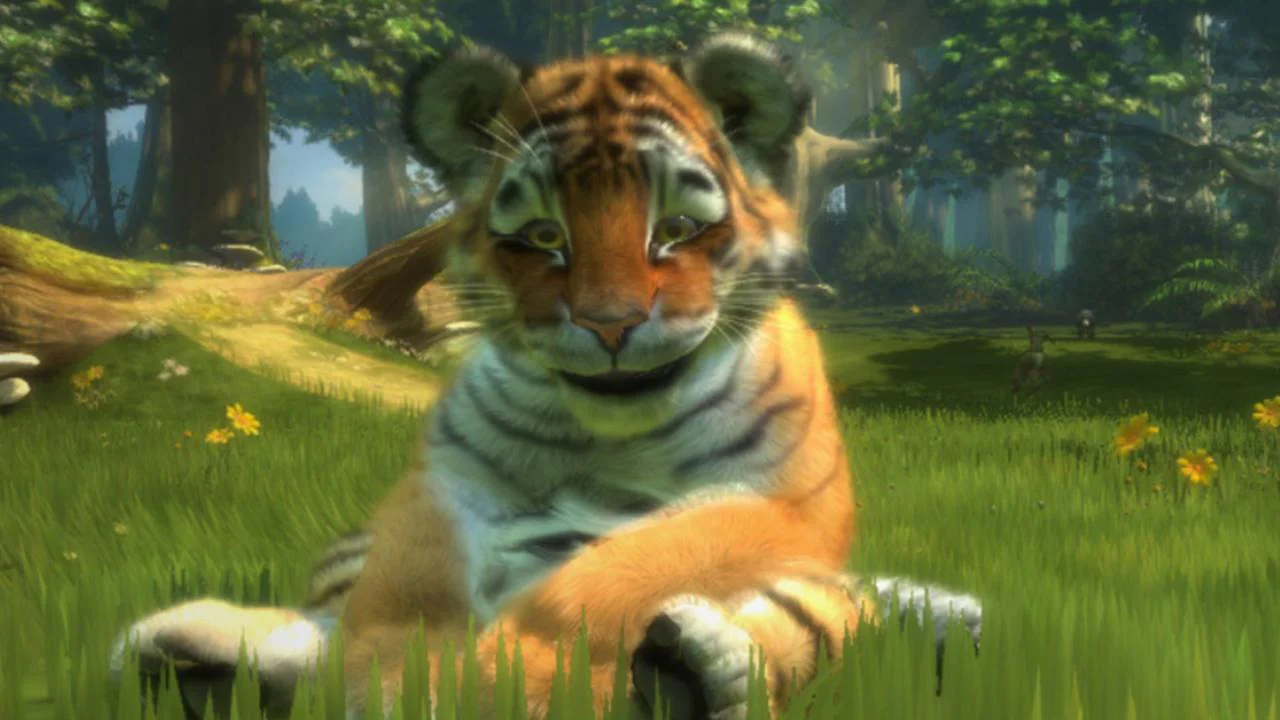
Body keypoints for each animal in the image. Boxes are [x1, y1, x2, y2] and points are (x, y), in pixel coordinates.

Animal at [109, 33, 982, 720]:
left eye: (675, 230)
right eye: (541, 235)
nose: (610, 325)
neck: (608, 441)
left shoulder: (784, 506)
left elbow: (624, 568)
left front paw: (487, 678)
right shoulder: (444, 489)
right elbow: (403, 596)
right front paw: (396, 676)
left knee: (835, 618)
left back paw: (697, 667)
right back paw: (185, 648)